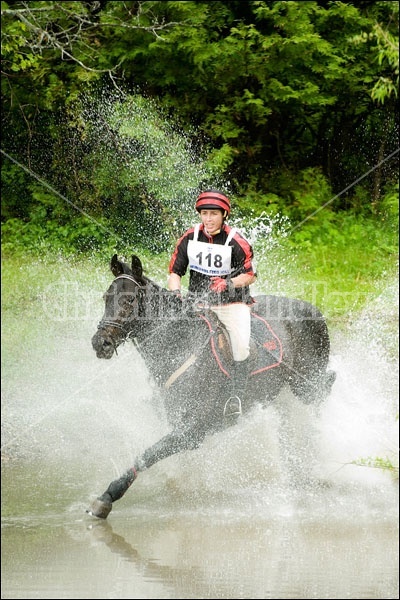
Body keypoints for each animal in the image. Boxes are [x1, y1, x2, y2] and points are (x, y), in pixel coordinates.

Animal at [87, 252, 334, 516]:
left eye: (130, 299)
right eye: (106, 297)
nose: (100, 342)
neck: (179, 343)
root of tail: (314, 310)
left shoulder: (191, 430)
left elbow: (146, 455)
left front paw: (107, 496)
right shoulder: (181, 424)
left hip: (307, 387)